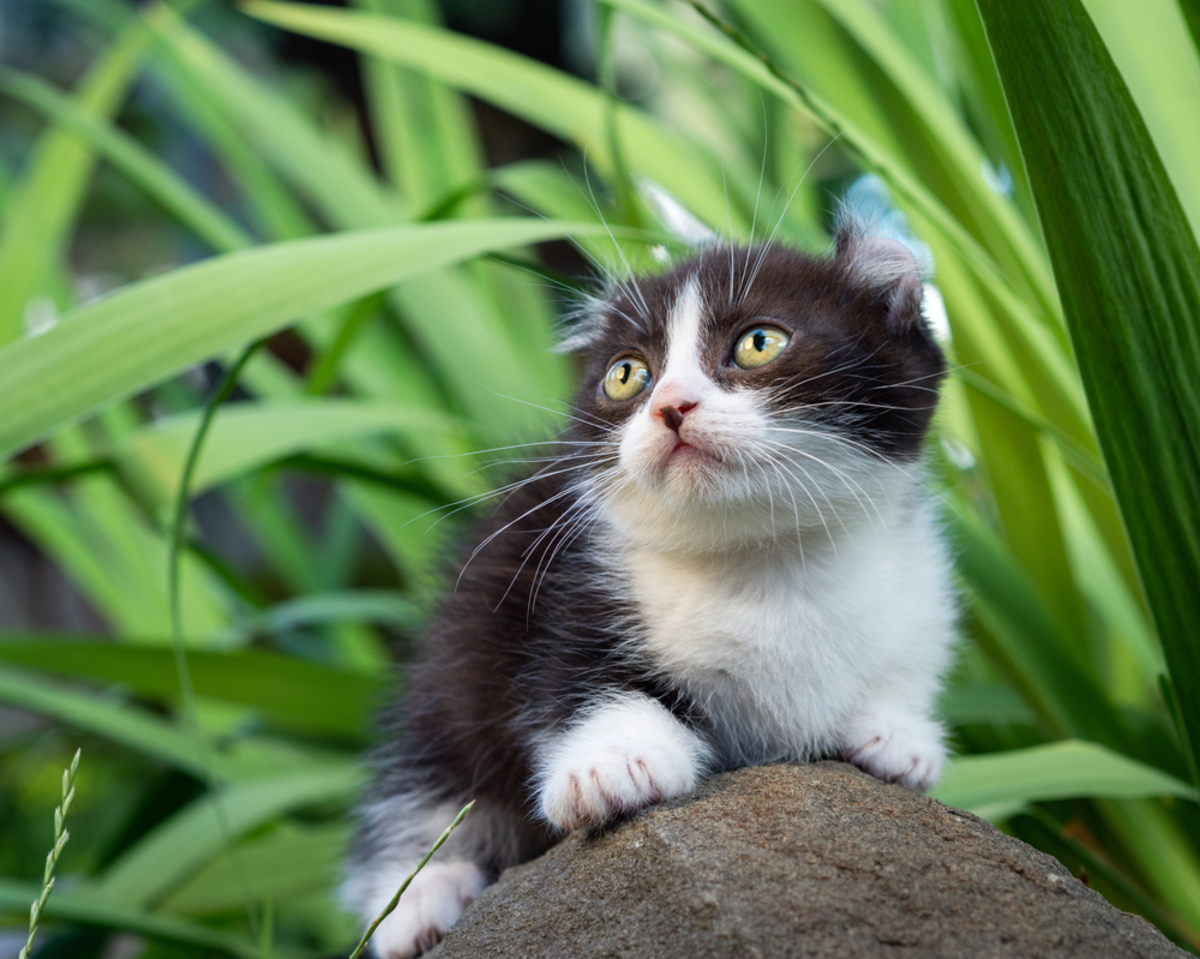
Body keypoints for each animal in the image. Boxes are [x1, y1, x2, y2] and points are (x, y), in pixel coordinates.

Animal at [338, 229, 955, 955]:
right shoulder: (564, 587)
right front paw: (613, 762)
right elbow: (579, 678)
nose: (671, 406)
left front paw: (897, 734)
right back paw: (419, 901)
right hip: (458, 652)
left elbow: (904, 662)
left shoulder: (917, 588)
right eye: (627, 374)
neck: (765, 560)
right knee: (429, 777)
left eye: (759, 342)